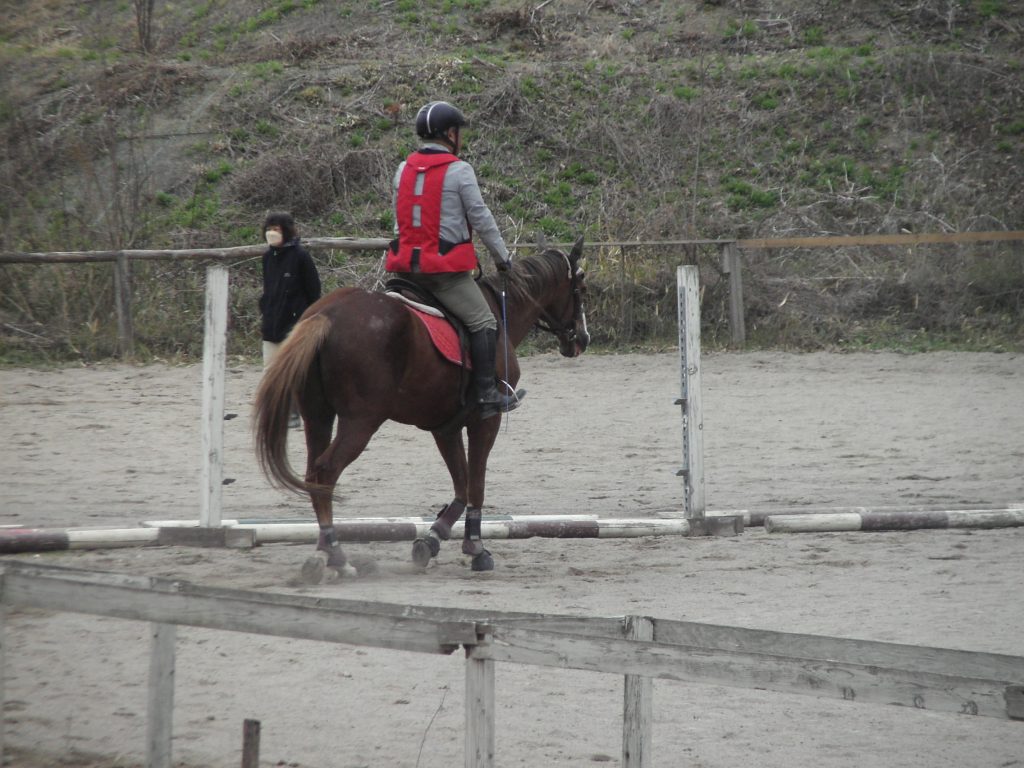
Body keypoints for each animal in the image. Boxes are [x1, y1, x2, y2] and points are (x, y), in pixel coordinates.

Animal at [253, 237, 589, 581]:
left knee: (313, 474)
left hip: (317, 415)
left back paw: (323, 553)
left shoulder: (446, 426)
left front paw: (432, 540)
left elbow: (462, 485)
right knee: (326, 470)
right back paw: (336, 555)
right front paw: (476, 548)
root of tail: (327, 314)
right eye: (582, 288)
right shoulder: (486, 421)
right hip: (360, 422)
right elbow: (477, 484)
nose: (582, 339)